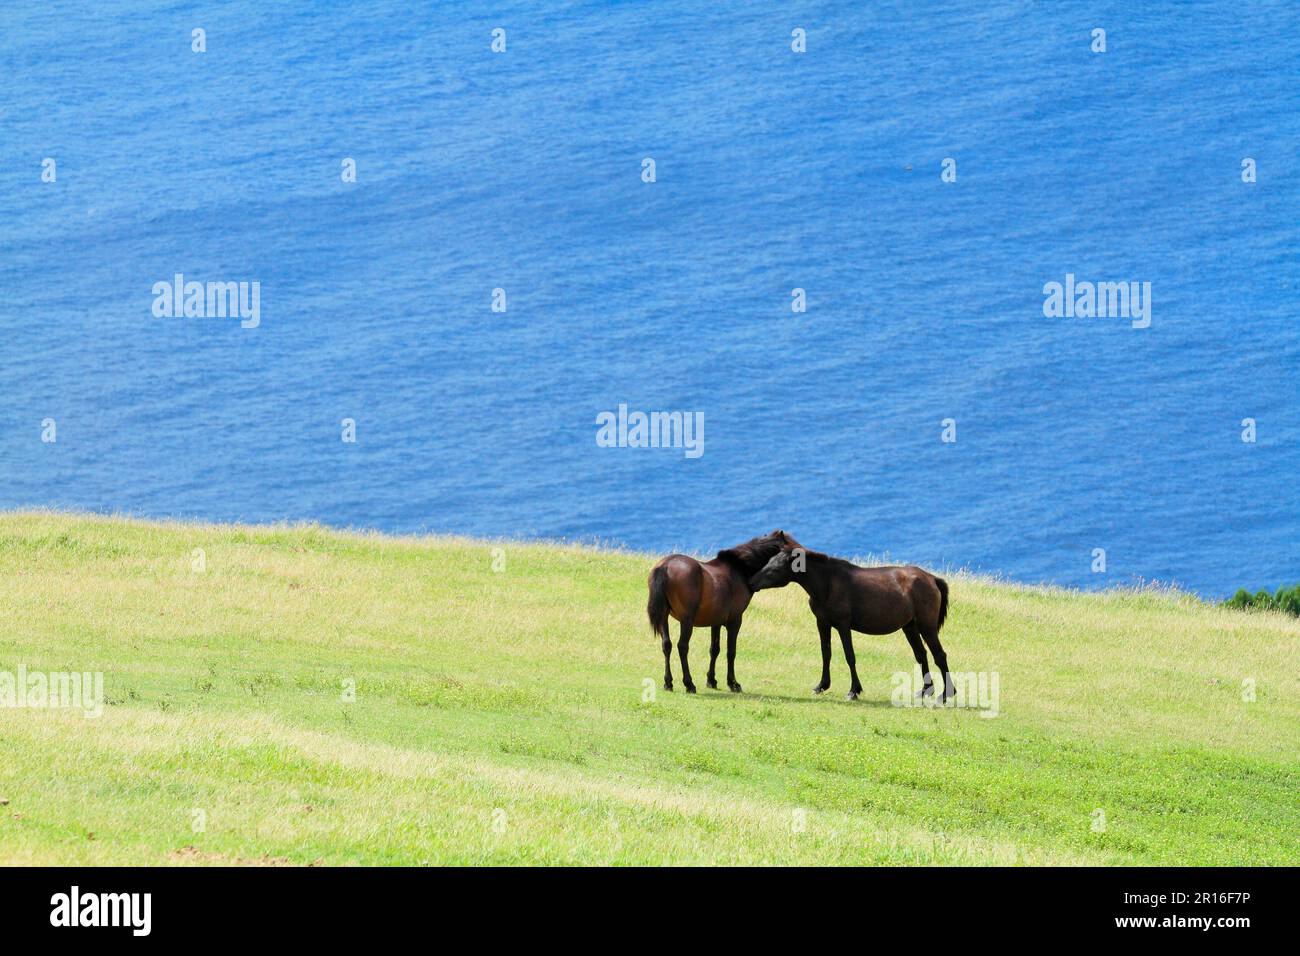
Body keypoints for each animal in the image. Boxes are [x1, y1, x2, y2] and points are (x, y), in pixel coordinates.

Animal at [644, 530, 795, 697]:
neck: (739, 570)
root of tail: (665, 566)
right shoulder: (735, 620)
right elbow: (731, 651)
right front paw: (733, 683)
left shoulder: (715, 621)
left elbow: (714, 650)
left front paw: (712, 680)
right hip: (686, 620)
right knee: (682, 647)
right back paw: (689, 684)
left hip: (663, 617)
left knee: (667, 645)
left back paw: (668, 682)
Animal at [743, 548, 956, 697]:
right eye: (768, 562)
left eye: (775, 568)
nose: (751, 582)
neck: (828, 583)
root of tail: (932, 579)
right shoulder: (822, 623)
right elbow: (826, 653)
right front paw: (822, 685)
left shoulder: (843, 626)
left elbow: (849, 656)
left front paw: (854, 690)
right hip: (909, 627)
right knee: (921, 655)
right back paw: (926, 690)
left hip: (927, 627)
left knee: (940, 655)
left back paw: (947, 694)